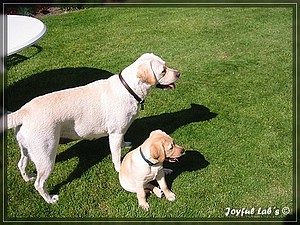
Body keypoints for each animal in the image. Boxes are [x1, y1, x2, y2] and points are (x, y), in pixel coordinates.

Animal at [7, 53, 180, 204]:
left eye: (166, 66)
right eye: (163, 71)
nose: (178, 73)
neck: (129, 89)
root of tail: (23, 111)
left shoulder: (119, 132)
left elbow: (122, 141)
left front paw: (125, 145)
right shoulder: (115, 133)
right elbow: (116, 156)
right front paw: (120, 169)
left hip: (28, 149)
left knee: (21, 164)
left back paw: (27, 177)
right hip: (46, 156)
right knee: (39, 183)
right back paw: (50, 199)